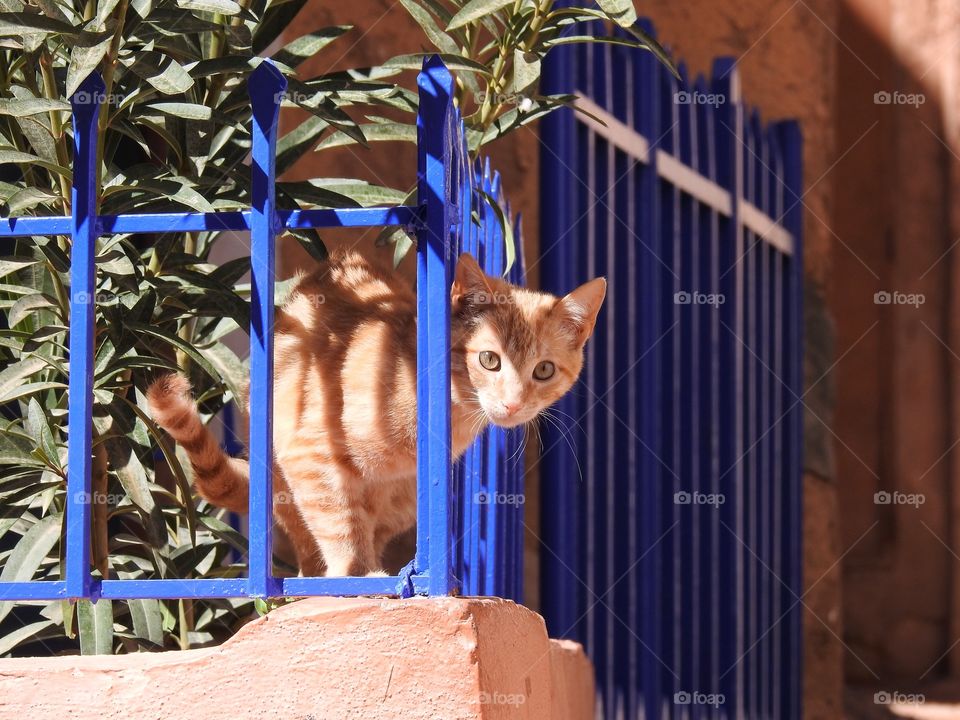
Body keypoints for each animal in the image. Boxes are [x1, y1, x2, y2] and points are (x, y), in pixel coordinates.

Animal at [146, 250, 604, 576]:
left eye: (543, 370)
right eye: (489, 360)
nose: (512, 403)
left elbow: (360, 529)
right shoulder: (307, 455)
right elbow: (340, 525)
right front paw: (354, 574)